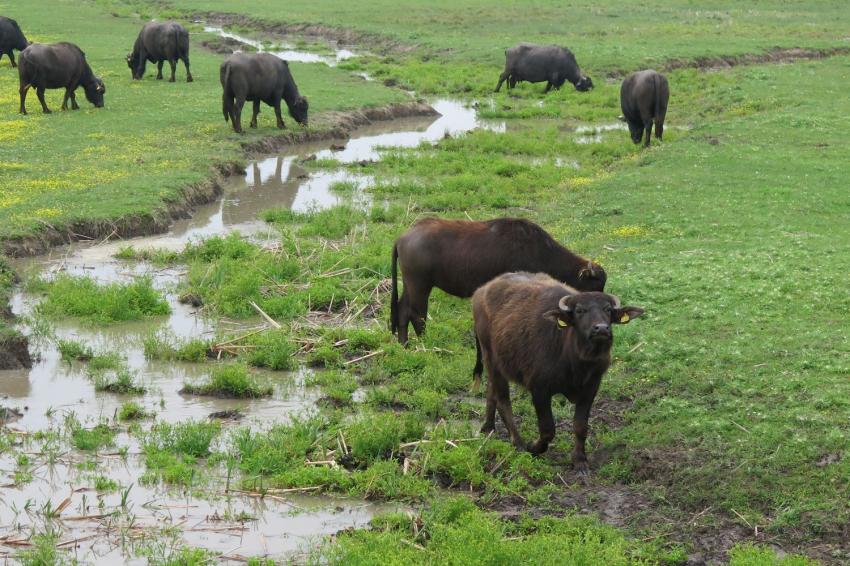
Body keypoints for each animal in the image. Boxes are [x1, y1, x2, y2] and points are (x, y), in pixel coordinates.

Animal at [390, 217, 607, 345]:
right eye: (594, 285)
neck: (540, 252)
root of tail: (403, 237)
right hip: (420, 286)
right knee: (417, 314)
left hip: (410, 285)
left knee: (402, 311)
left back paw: (404, 344)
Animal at [472, 272, 644, 472]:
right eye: (579, 310)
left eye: (608, 309)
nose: (601, 328)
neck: (577, 361)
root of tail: (481, 292)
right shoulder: (539, 389)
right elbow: (547, 429)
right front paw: (534, 447)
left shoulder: (591, 386)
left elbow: (580, 426)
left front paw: (580, 460)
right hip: (490, 357)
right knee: (503, 401)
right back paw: (519, 442)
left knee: (491, 392)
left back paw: (488, 427)